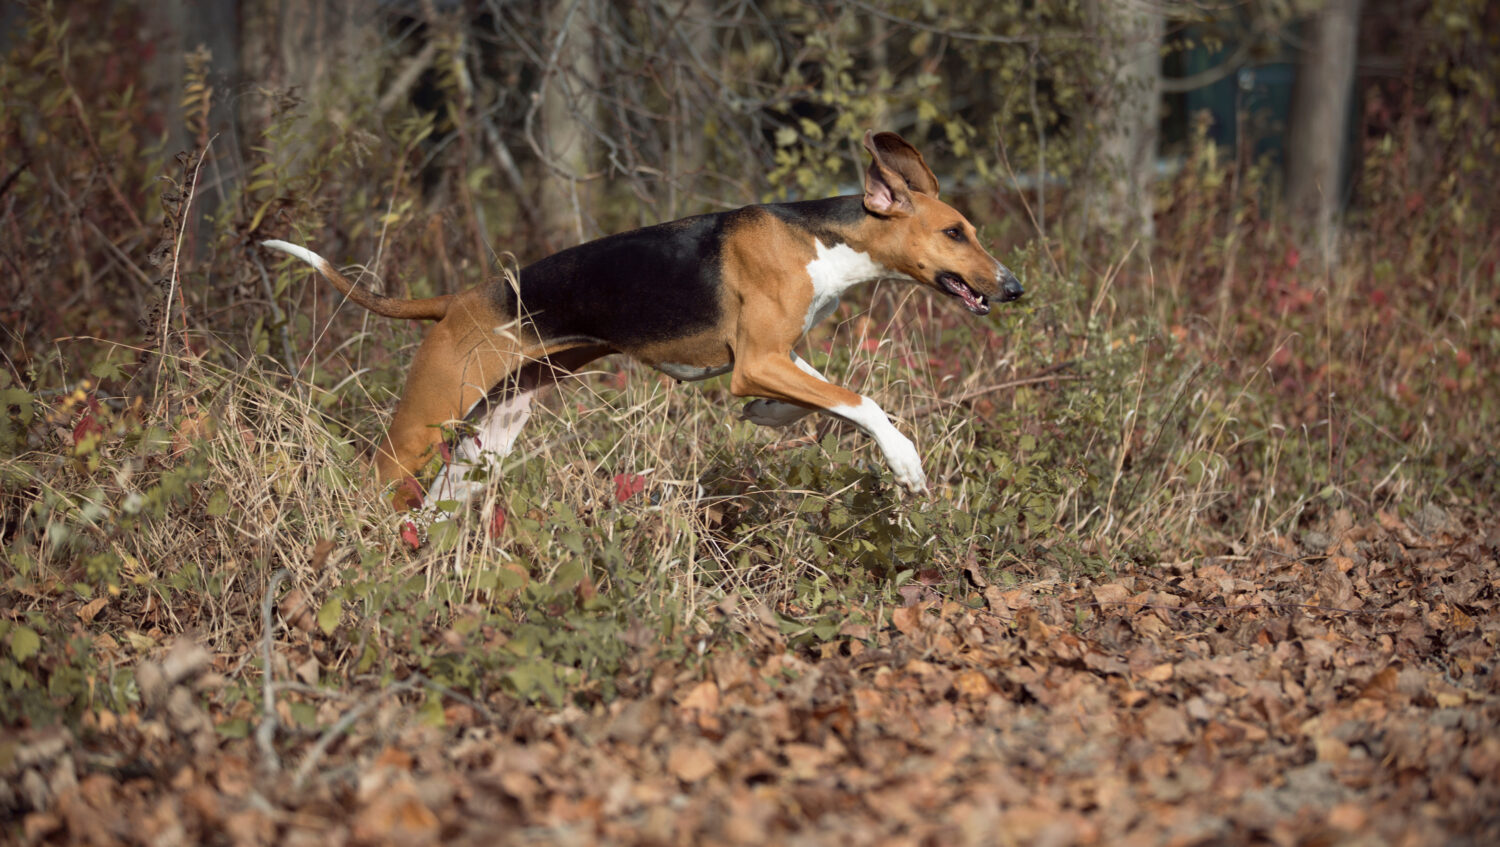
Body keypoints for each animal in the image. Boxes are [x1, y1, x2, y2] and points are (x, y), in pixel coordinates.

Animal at [267, 131, 1020, 515]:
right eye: (954, 232)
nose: (1013, 287)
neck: (822, 238)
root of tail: (459, 298)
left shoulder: (777, 356)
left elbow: (828, 399)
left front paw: (772, 418)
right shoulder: (758, 362)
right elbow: (861, 401)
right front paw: (904, 462)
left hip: (487, 441)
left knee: (436, 505)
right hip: (423, 424)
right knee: (375, 480)